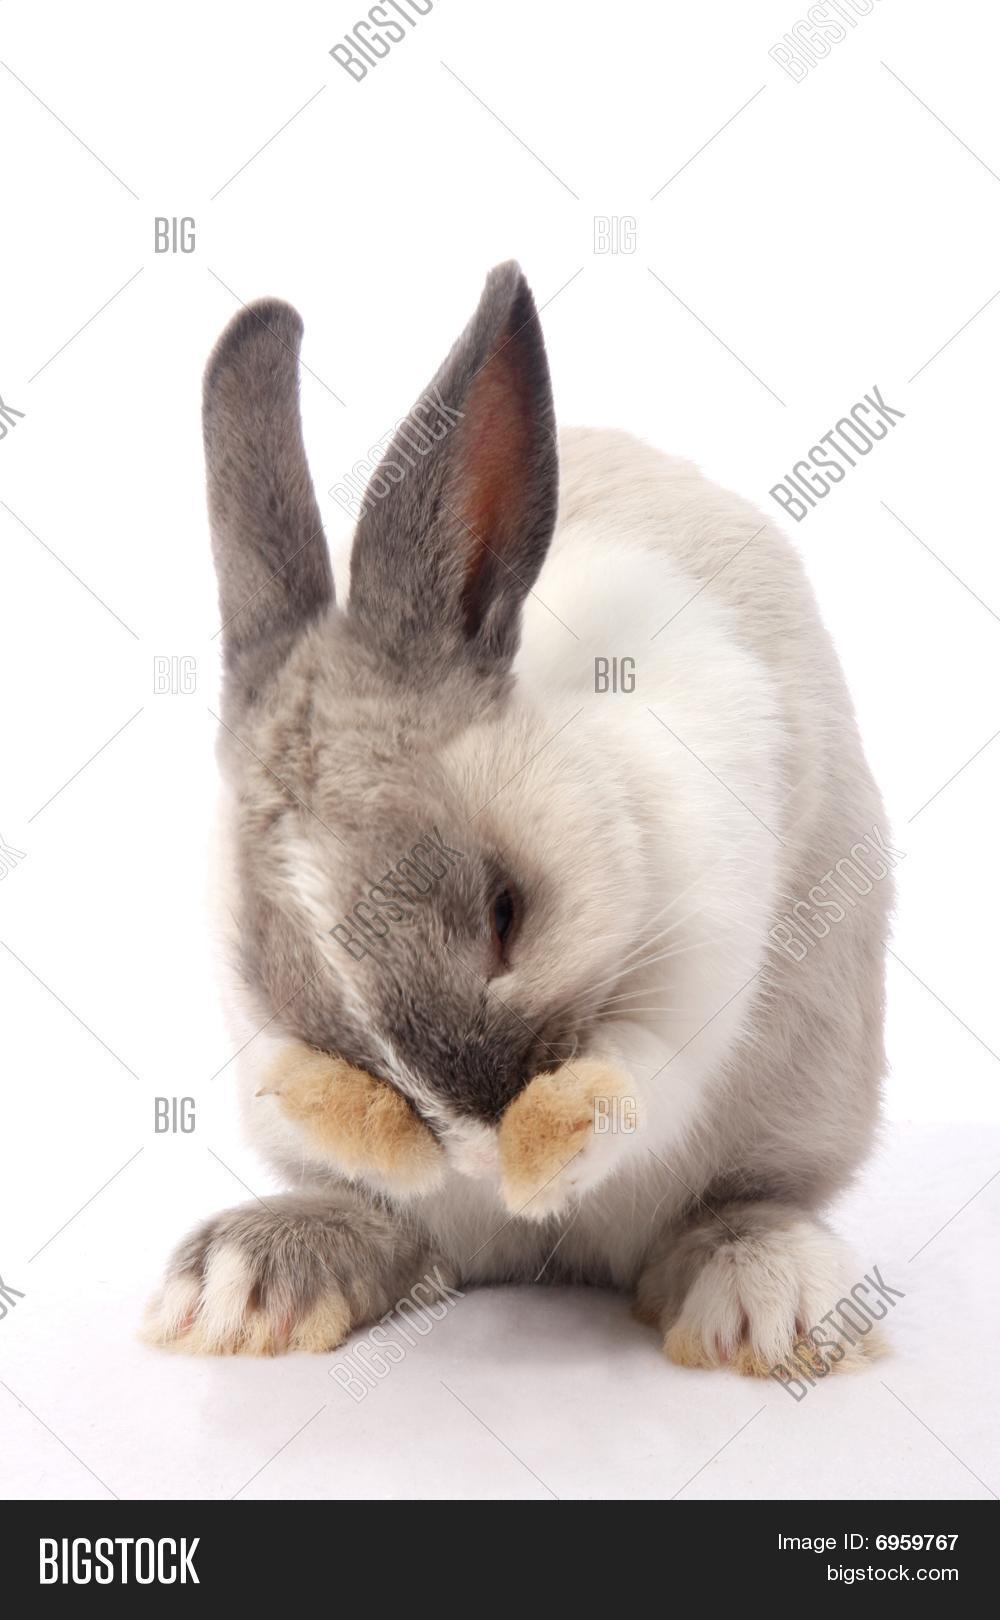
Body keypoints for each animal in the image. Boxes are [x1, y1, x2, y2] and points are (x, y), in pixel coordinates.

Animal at [143, 261, 892, 1374]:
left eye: (506, 912)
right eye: (272, 980)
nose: (470, 1144)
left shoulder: (708, 936)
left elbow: (646, 1073)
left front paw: (550, 1148)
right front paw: (363, 1127)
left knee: (737, 1205)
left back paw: (769, 1300)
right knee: (393, 1236)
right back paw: (247, 1280)